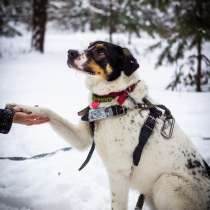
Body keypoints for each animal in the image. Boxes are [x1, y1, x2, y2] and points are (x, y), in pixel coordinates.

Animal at [9, 41, 210, 210]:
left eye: (100, 51)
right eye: (89, 45)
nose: (70, 52)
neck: (113, 99)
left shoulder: (118, 172)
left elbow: (117, 205)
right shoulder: (82, 139)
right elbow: (49, 111)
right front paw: (23, 109)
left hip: (166, 183)